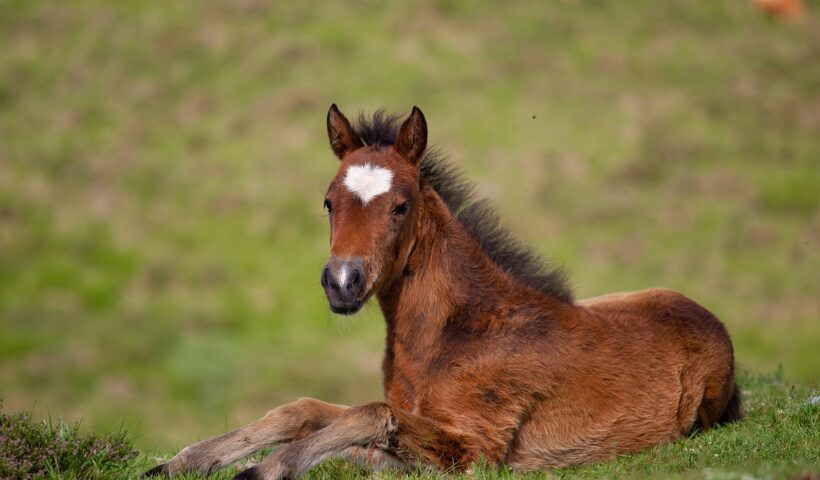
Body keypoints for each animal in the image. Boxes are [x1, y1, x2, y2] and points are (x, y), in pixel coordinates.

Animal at [144, 106, 740, 480]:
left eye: (401, 206)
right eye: (329, 202)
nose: (342, 282)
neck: (457, 331)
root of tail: (707, 316)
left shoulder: (477, 449)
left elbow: (369, 417)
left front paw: (270, 466)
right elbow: (308, 409)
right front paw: (182, 461)